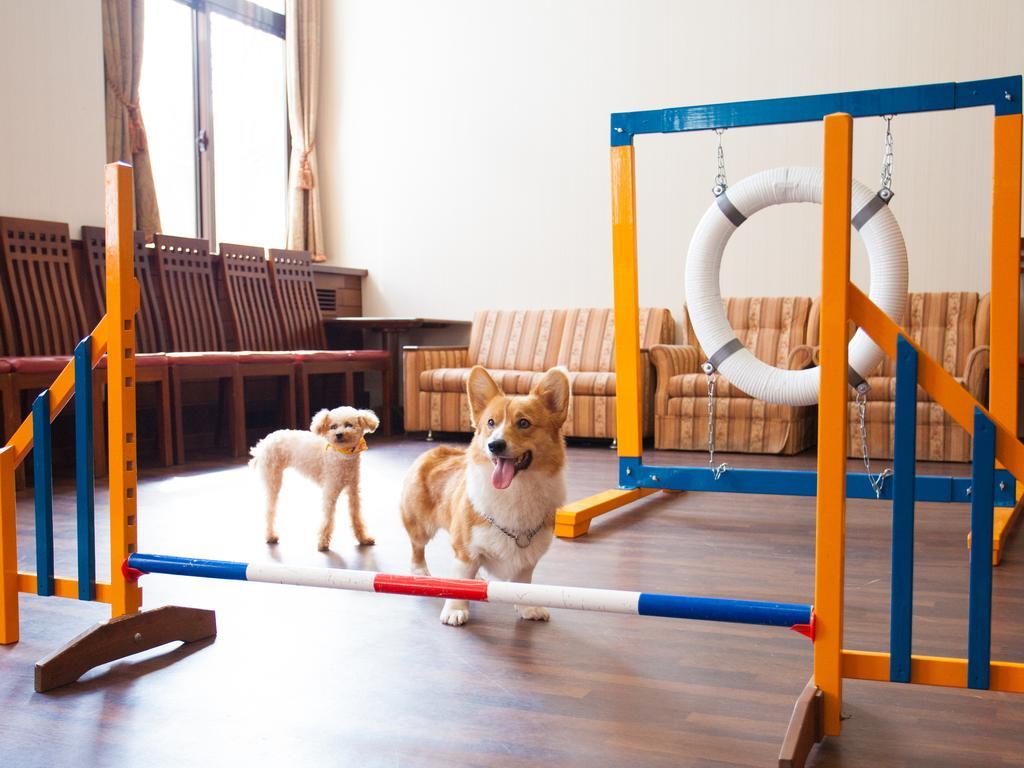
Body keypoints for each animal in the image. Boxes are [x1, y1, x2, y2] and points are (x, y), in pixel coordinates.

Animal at [248, 405, 380, 548]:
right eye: (333, 427)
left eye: (349, 425)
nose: (338, 434)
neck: (342, 454)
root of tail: (263, 443)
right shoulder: (330, 492)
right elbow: (328, 518)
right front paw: (323, 542)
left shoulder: (353, 491)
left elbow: (356, 515)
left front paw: (363, 538)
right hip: (273, 480)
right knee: (269, 510)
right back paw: (270, 535)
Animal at [399, 364, 573, 626]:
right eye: (491, 422)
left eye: (524, 423)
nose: (495, 445)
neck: (516, 491)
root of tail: (437, 450)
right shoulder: (465, 551)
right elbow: (459, 581)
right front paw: (455, 610)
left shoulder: (529, 557)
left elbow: (524, 583)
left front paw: (528, 607)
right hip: (420, 525)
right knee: (416, 548)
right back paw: (421, 573)